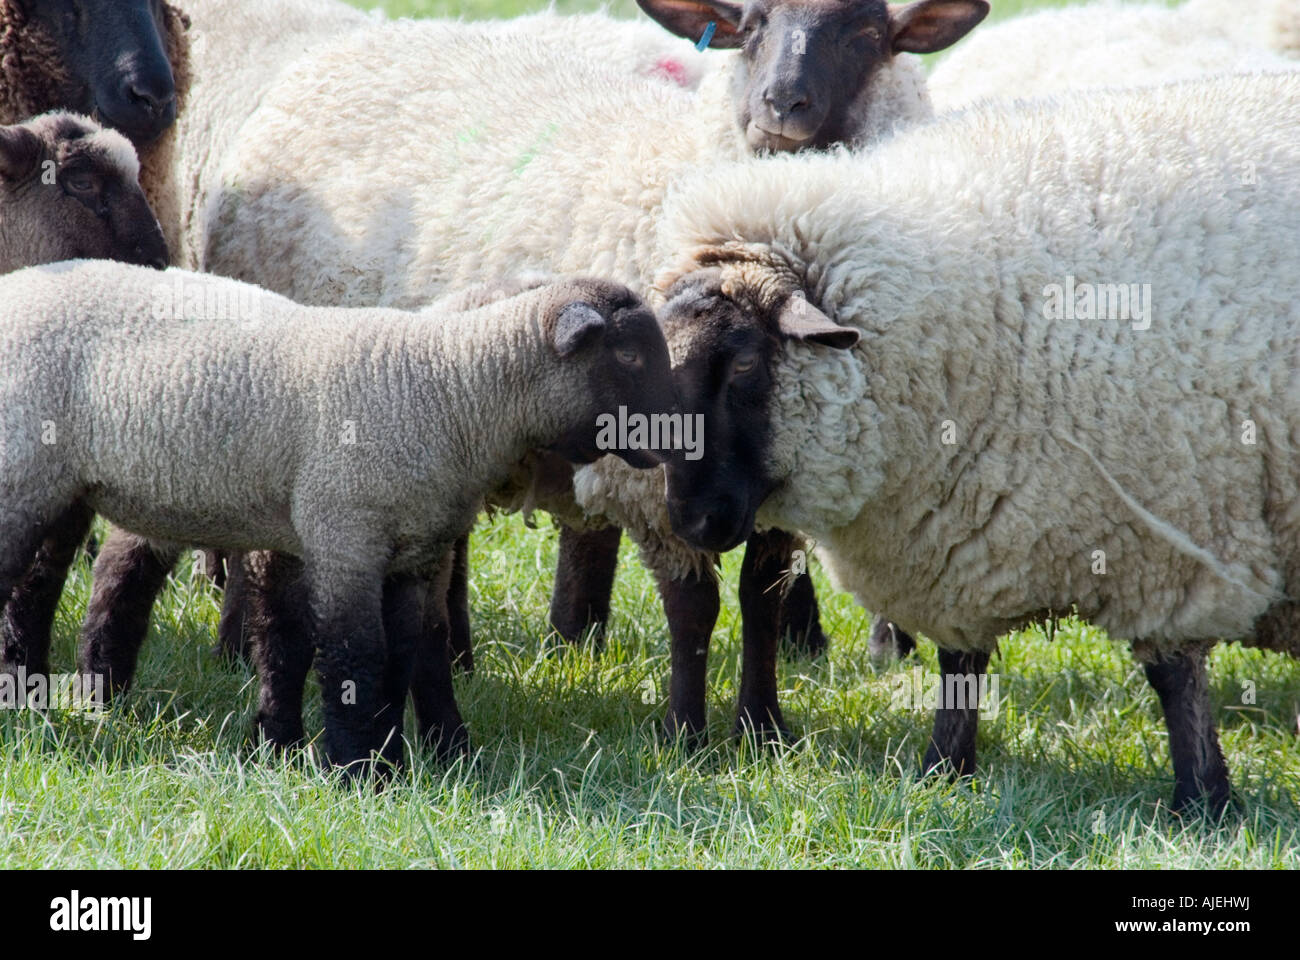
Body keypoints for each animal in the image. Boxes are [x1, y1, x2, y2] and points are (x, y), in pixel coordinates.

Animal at [2, 257, 681, 764]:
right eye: (629, 356)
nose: (679, 436)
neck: (448, 388)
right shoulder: (344, 537)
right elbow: (356, 654)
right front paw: (357, 769)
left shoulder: (416, 551)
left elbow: (410, 653)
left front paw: (409, 760)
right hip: (24, 472)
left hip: (85, 486)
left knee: (57, 581)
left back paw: (59, 695)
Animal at [655, 70, 1300, 811]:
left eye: (742, 364)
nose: (692, 521)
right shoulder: (958, 539)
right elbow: (958, 663)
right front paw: (943, 772)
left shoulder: (1174, 535)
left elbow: (1175, 677)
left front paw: (1204, 799)